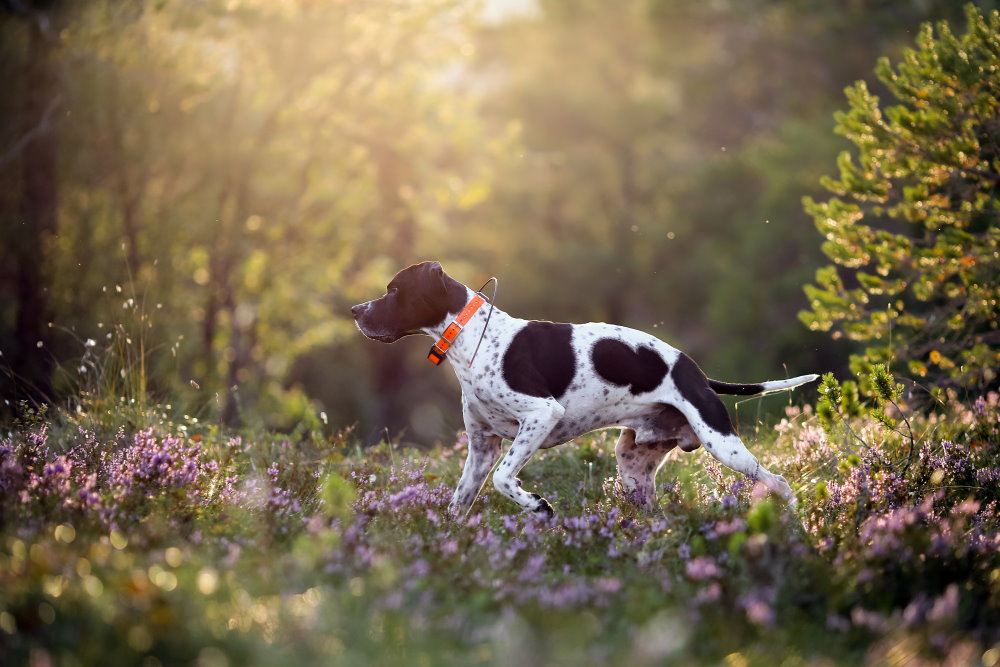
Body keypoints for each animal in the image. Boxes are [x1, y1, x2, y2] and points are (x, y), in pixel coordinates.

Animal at [354, 260, 820, 516]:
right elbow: (458, 504)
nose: (355, 309)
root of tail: (698, 374)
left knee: (778, 482)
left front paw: (538, 506)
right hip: (633, 468)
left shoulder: (540, 416)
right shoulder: (481, 448)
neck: (474, 337)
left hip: (723, 446)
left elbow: (506, 479)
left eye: (394, 290)